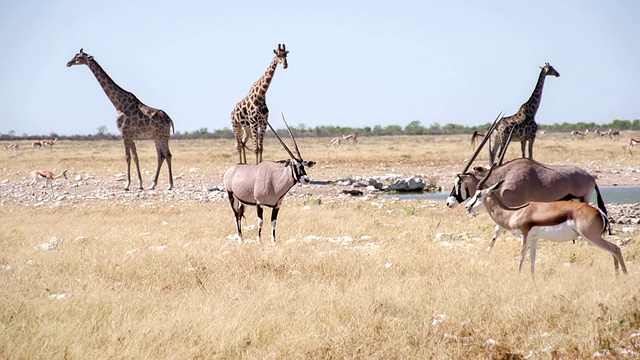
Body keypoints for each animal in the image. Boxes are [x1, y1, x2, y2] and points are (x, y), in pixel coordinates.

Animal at [67, 47, 175, 191]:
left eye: (79, 57)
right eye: (75, 55)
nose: (68, 63)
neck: (118, 104)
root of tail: (170, 120)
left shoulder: (124, 133)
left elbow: (127, 157)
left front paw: (127, 184)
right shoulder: (130, 135)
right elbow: (135, 157)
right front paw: (140, 184)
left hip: (163, 136)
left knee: (168, 155)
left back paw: (170, 185)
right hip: (156, 137)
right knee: (160, 156)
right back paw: (152, 185)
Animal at [224, 114, 316, 245]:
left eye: (303, 165)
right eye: (294, 164)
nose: (306, 179)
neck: (274, 181)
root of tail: (231, 170)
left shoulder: (277, 205)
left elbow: (273, 222)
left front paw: (273, 241)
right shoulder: (259, 203)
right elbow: (260, 221)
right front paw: (259, 240)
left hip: (243, 202)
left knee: (240, 215)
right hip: (232, 197)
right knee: (236, 216)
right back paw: (240, 239)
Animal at [464, 168, 632, 276]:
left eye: (478, 195)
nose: (467, 206)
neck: (515, 213)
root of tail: (599, 212)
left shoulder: (524, 236)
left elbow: (521, 257)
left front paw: (517, 277)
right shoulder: (534, 239)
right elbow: (532, 260)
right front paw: (532, 279)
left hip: (591, 236)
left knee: (616, 249)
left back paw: (624, 276)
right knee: (613, 250)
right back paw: (617, 276)